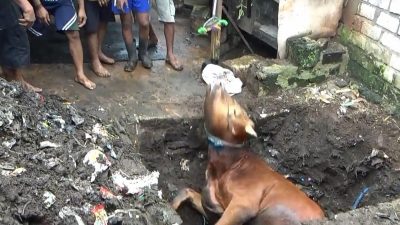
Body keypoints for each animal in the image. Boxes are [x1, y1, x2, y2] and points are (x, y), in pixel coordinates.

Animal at [170, 85, 324, 225]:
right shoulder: (214, 205)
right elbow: (187, 191)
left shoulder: (243, 204)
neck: (231, 164)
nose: (220, 85)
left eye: (233, 111)